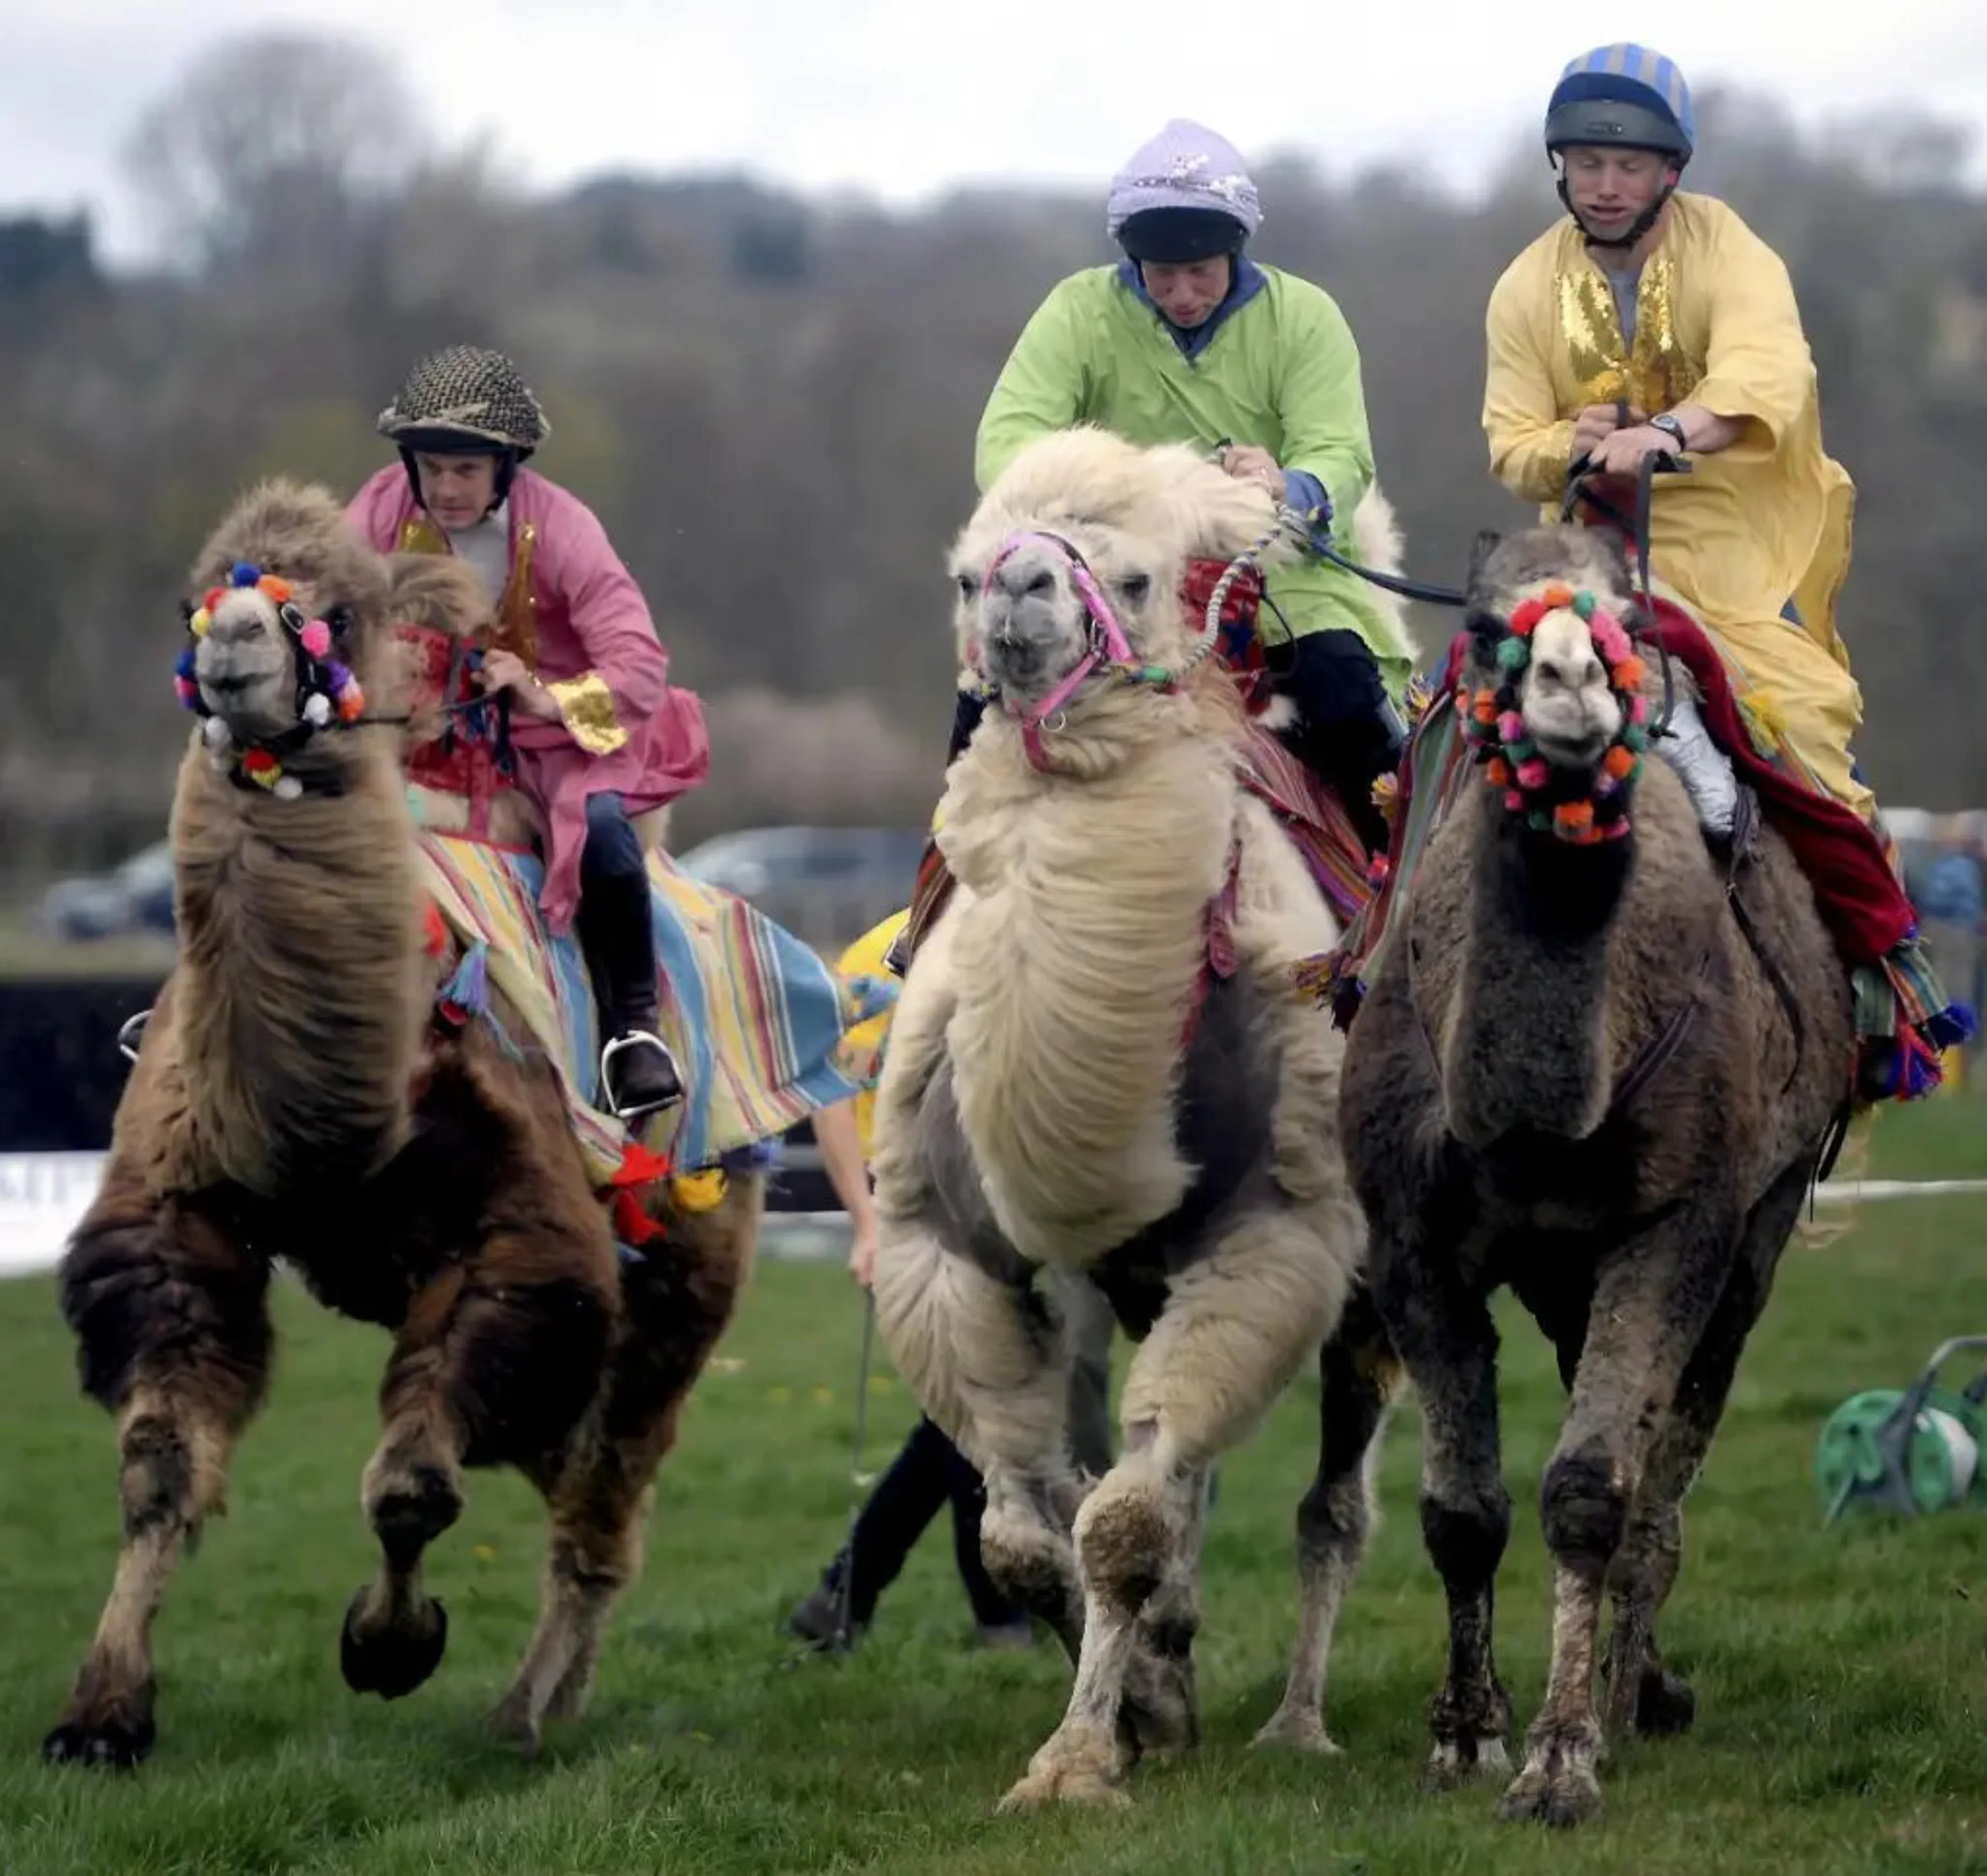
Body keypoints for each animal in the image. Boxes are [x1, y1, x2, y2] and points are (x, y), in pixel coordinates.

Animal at [42, 479, 784, 1769]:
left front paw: (388, 1646)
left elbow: (410, 1485)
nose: (234, 646)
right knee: (577, 1467)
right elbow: (160, 1468)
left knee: (605, 1491)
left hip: (689, 1258)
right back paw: (557, 1697)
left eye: (332, 614)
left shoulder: (521, 1242)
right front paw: (101, 1716)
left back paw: (523, 1713)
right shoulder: (178, 1219)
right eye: (196, 603)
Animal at [867, 426, 1413, 1811]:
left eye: (1131, 576)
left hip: (1370, 1282)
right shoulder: (944, 1252)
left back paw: (1297, 1724)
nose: (1019, 592)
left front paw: (1075, 1759)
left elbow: (1120, 1519)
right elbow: (1025, 1536)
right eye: (966, 577)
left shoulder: (1274, 1240)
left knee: (1329, 1509)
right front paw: (1144, 1703)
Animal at [1337, 523, 1854, 1826]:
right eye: (1482, 630)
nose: (1569, 690)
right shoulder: (1410, 1241)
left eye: (1627, 627)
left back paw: (1635, 1697)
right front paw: (1465, 1735)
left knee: (1664, 1466)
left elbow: (1589, 1491)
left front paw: (1561, 1760)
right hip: (1558, 1268)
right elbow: (1461, 1511)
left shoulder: (1676, 1222)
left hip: (1758, 1221)